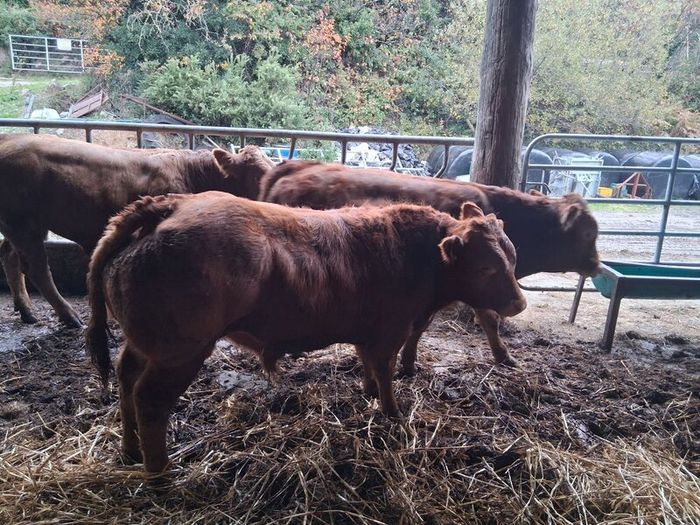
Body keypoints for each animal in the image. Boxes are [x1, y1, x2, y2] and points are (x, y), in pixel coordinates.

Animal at [0, 134, 273, 327]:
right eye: (259, 176)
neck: (190, 173)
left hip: (22, 226)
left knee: (9, 256)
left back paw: (26, 309)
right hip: (24, 225)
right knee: (38, 269)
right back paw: (68, 315)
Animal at [86, 192, 526, 472]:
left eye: (513, 257)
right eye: (487, 267)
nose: (520, 304)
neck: (415, 252)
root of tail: (169, 205)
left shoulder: (370, 333)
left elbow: (368, 365)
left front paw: (368, 394)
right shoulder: (392, 330)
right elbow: (385, 372)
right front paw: (393, 413)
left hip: (145, 345)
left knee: (126, 379)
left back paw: (129, 450)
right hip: (180, 352)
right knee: (150, 401)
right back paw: (161, 475)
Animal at [255, 161, 600, 374]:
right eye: (587, 233)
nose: (597, 266)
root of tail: (295, 166)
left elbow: (424, 327)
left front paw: (409, 363)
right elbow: (488, 319)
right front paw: (504, 356)